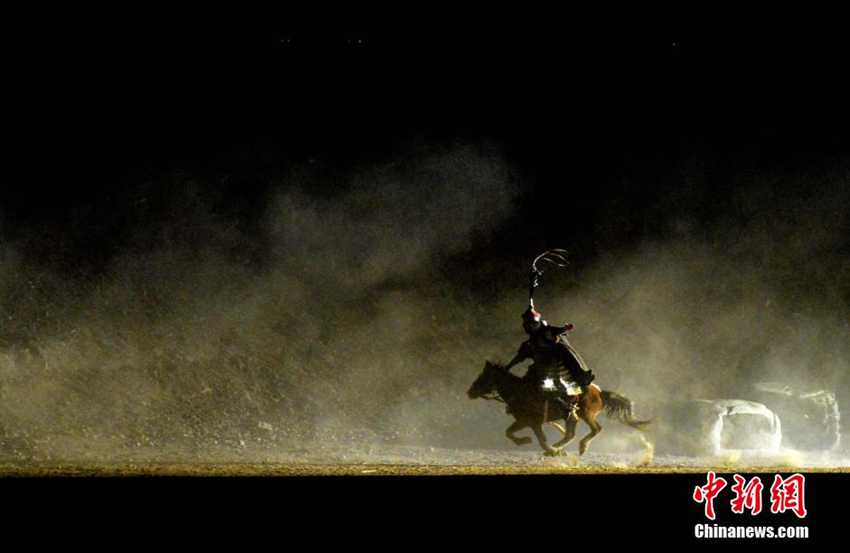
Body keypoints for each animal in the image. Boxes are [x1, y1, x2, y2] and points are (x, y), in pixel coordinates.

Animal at [464, 360, 648, 454]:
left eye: (483, 377)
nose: (470, 392)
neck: (519, 391)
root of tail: (600, 391)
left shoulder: (534, 422)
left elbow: (541, 440)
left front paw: (550, 450)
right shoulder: (523, 421)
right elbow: (508, 432)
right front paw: (525, 441)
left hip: (586, 414)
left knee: (596, 429)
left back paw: (580, 447)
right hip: (573, 417)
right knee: (570, 434)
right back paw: (560, 447)